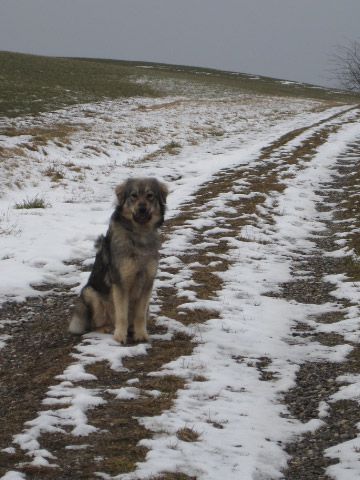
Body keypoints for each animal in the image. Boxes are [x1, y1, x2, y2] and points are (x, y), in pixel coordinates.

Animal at [69, 178, 169, 344]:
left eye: (150, 196)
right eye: (133, 196)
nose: (142, 208)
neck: (139, 235)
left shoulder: (148, 282)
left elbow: (140, 315)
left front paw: (141, 334)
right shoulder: (121, 282)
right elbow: (121, 314)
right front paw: (120, 336)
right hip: (90, 293)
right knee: (95, 325)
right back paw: (107, 328)